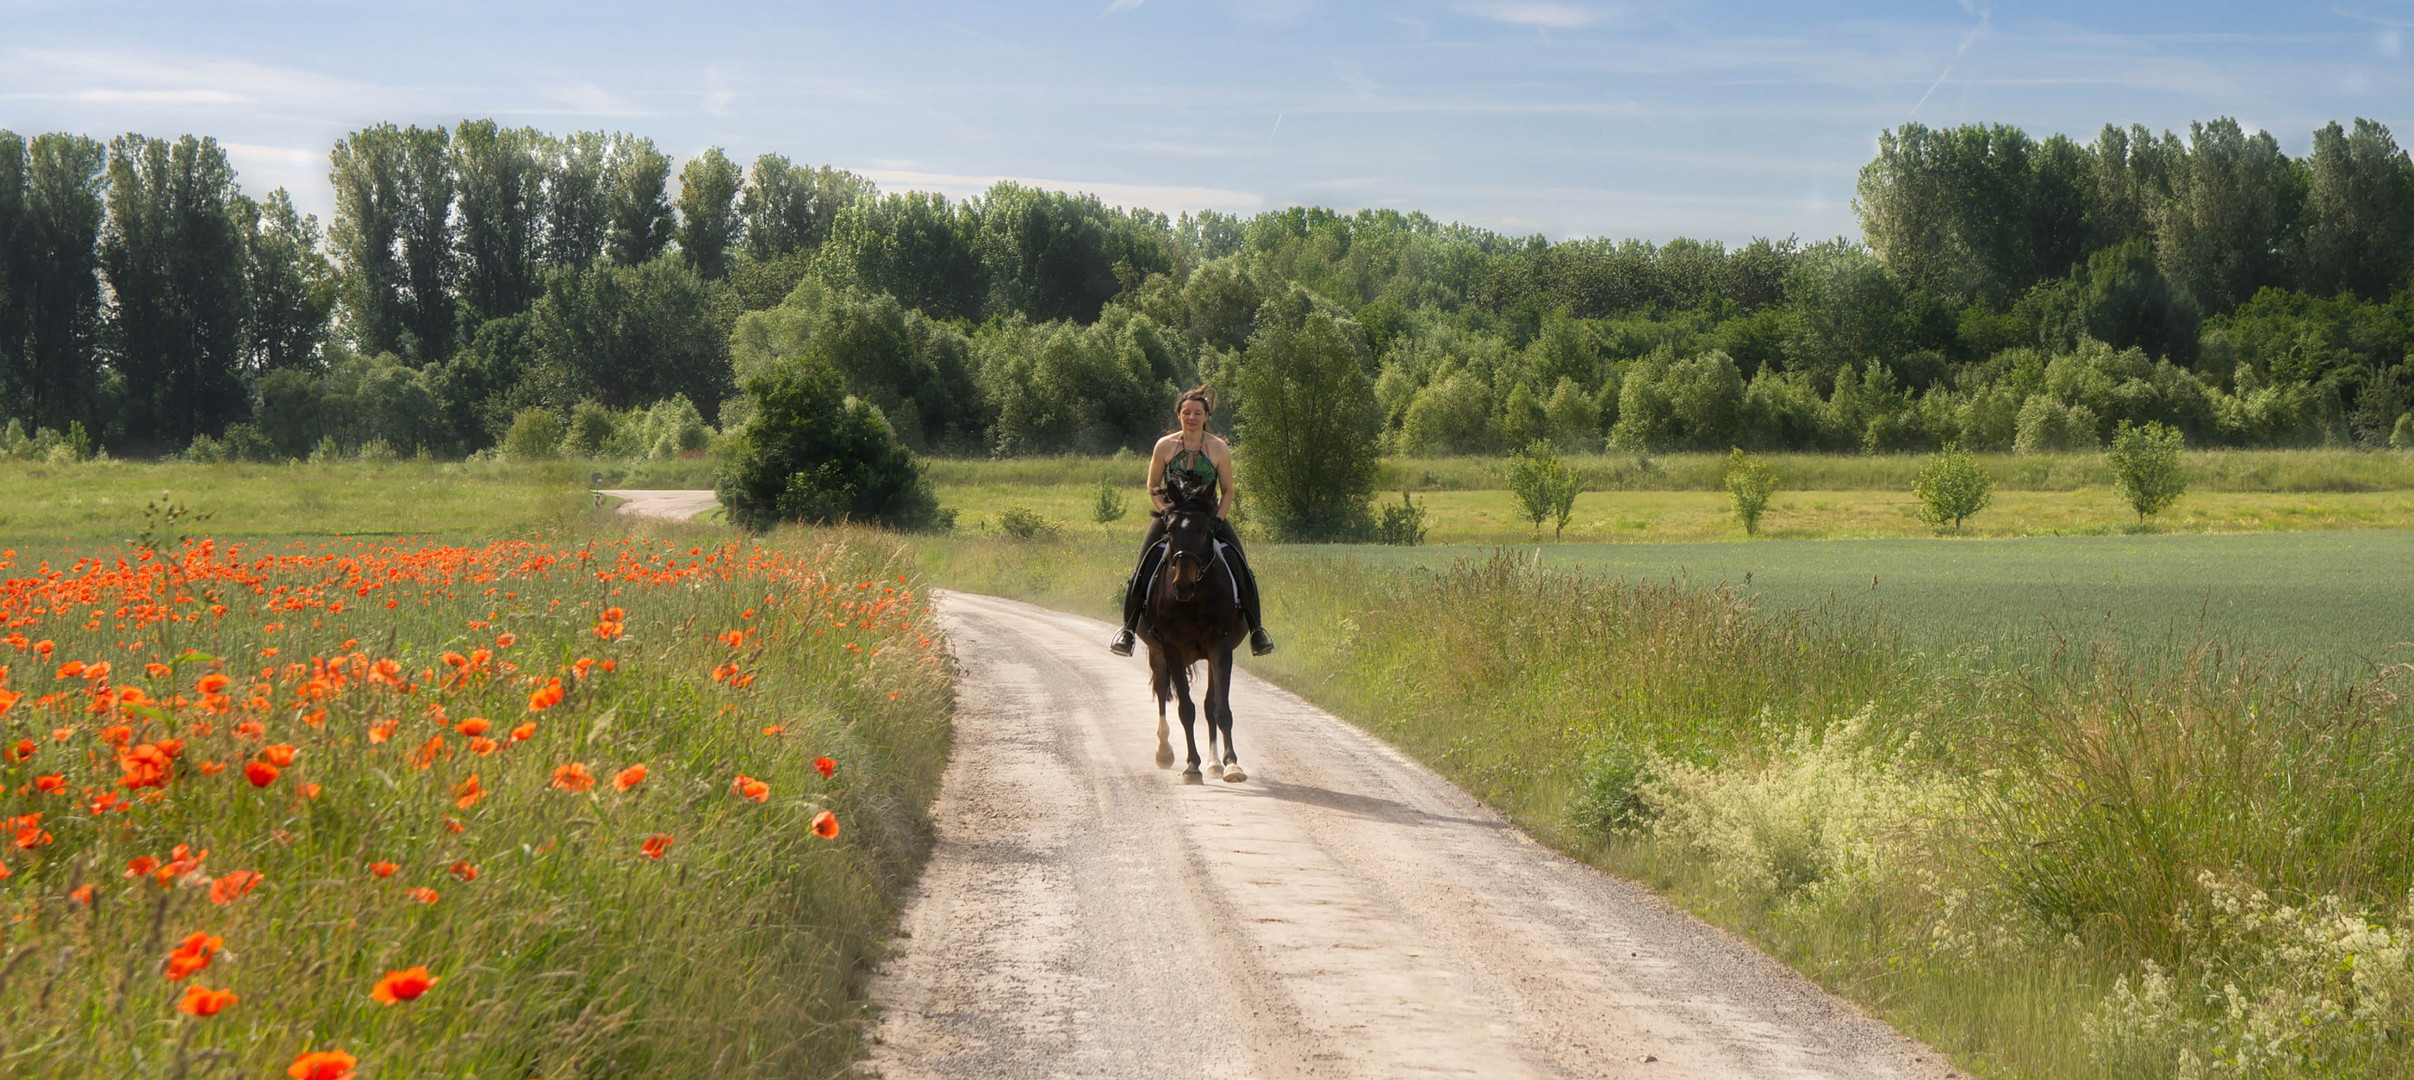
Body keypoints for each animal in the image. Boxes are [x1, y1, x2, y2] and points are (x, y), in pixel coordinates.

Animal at [1144, 473, 1255, 787]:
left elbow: (1219, 709)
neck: (1194, 599)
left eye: (1205, 530)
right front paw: (1191, 766)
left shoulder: (1220, 647)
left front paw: (1231, 765)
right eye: (1169, 530)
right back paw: (1164, 752)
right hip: (1156, 652)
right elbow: (1185, 709)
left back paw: (1215, 763)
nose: (1182, 584)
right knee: (1162, 692)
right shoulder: (1172, 649)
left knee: (1208, 704)